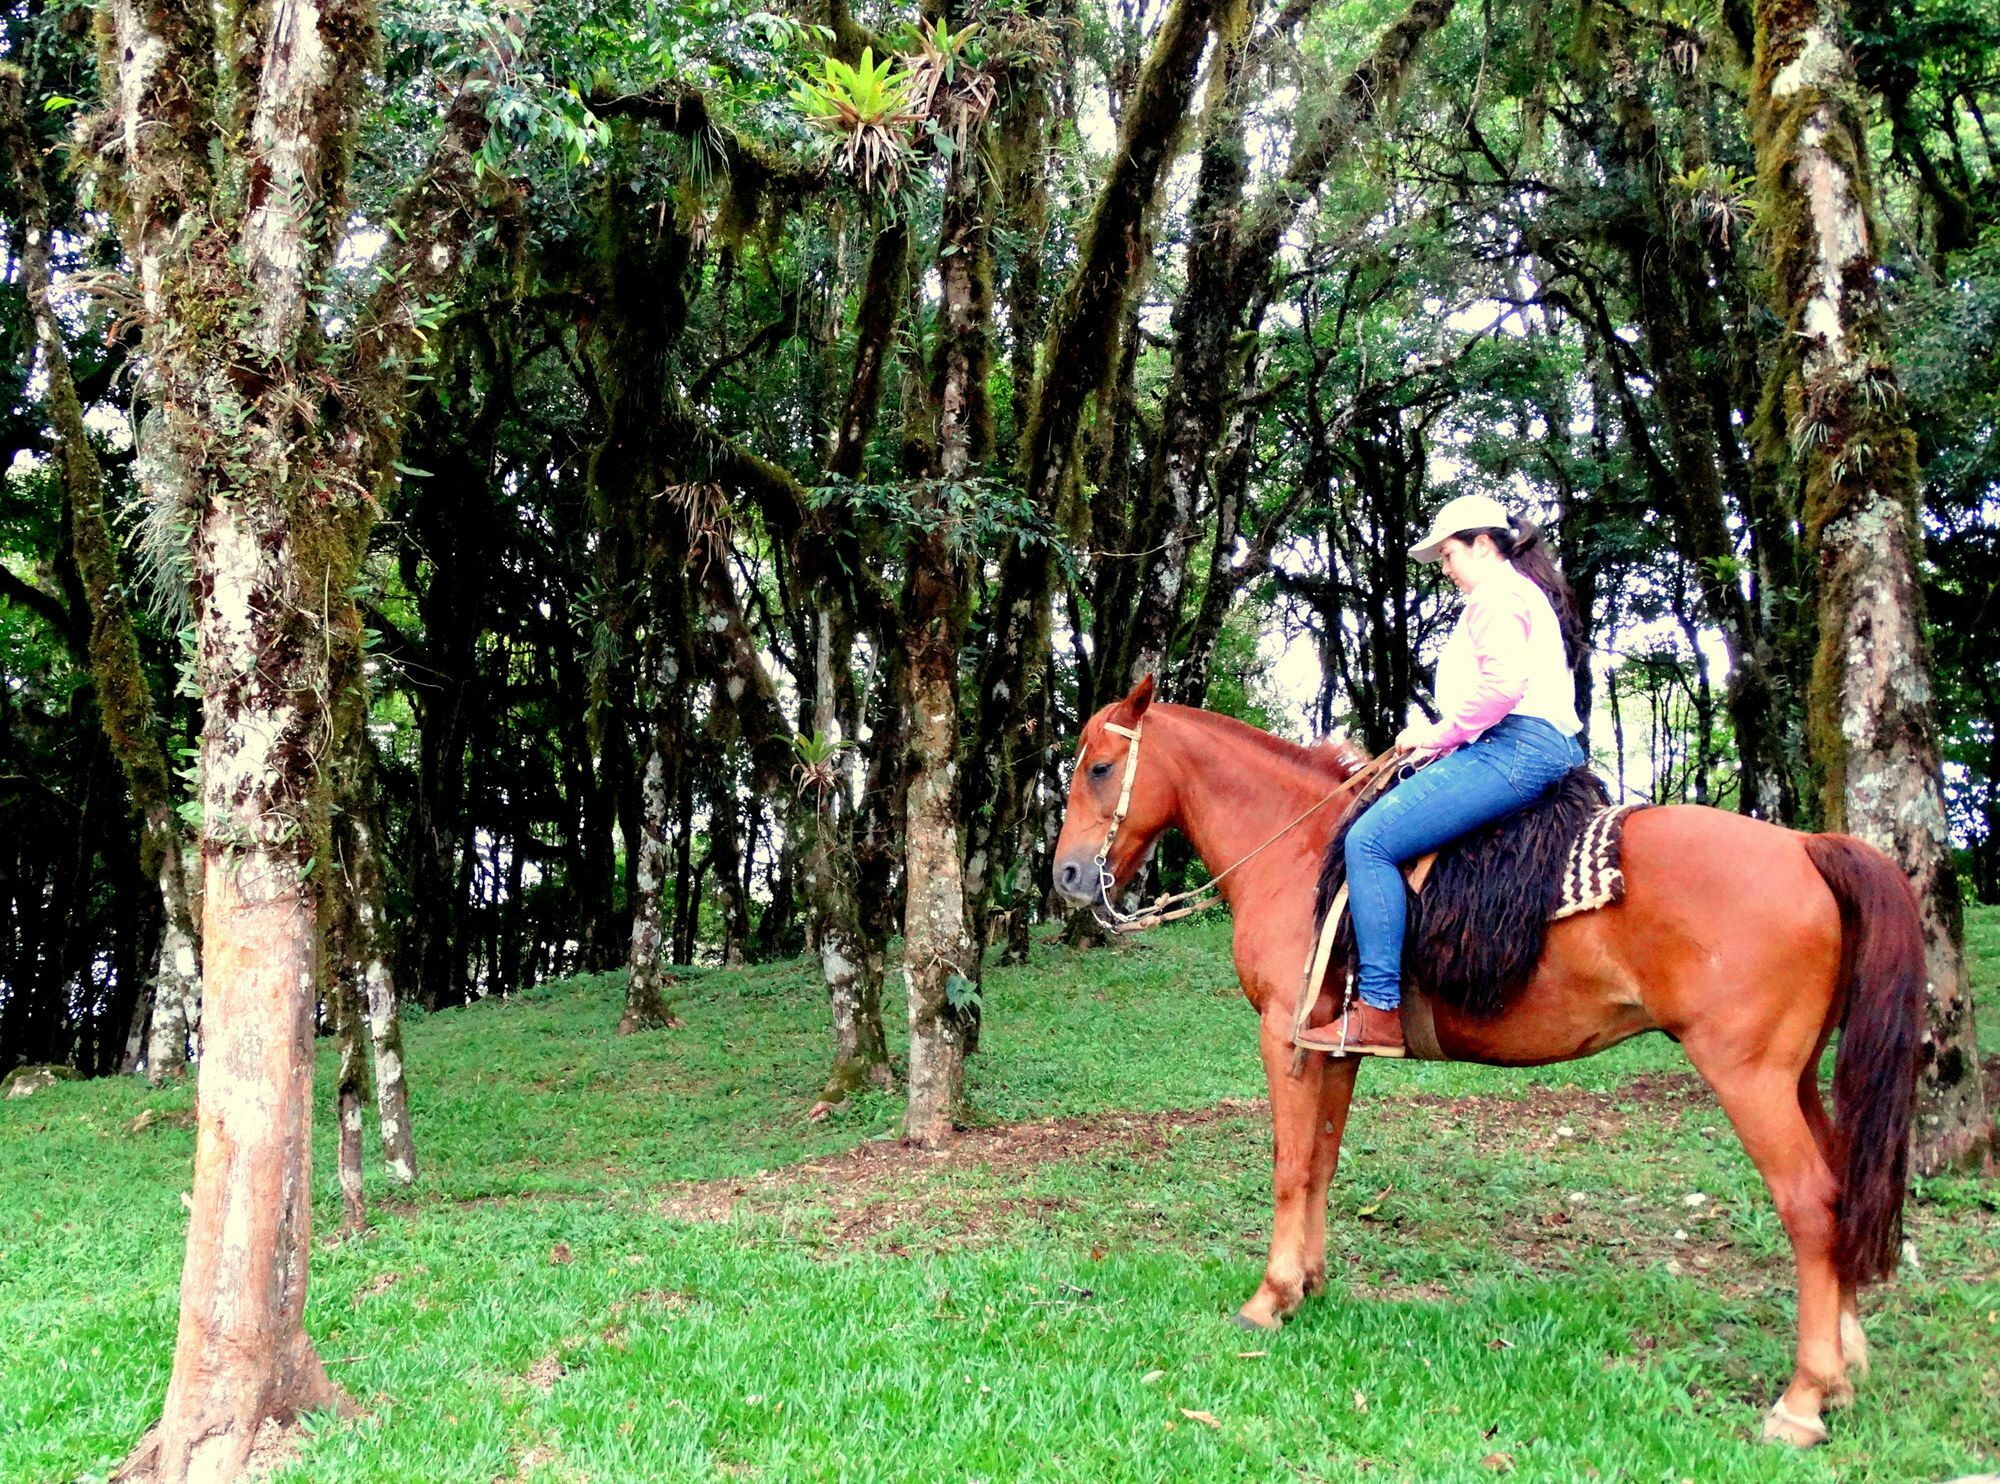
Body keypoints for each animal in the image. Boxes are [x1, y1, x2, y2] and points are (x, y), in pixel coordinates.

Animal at [1056, 680, 1928, 1448]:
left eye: (1099, 767)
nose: (1065, 875)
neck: (1302, 852)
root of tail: (1809, 847)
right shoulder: (1337, 1046)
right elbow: (1323, 1163)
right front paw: (1310, 1283)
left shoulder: (1285, 1037)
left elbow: (1288, 1167)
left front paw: (1270, 1298)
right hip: (1797, 1076)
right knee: (1842, 1190)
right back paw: (1843, 1370)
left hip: (1749, 1077)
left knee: (1810, 1204)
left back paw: (1803, 1400)